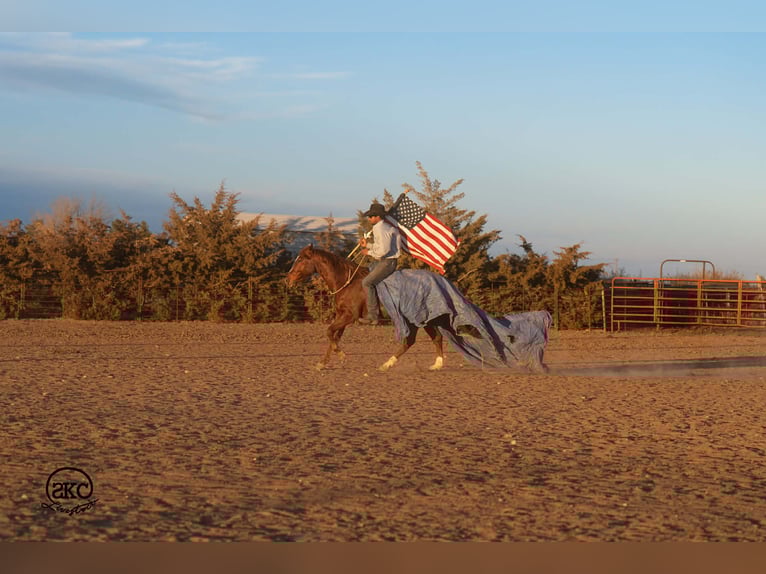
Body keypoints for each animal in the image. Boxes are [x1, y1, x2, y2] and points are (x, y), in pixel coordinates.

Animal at [284, 244, 447, 371]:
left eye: (301, 259)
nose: (288, 279)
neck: (347, 282)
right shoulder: (341, 315)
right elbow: (334, 336)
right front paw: (322, 363)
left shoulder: (349, 316)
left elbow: (329, 331)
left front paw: (341, 354)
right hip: (422, 320)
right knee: (432, 338)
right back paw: (436, 364)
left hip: (416, 320)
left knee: (414, 340)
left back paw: (387, 364)